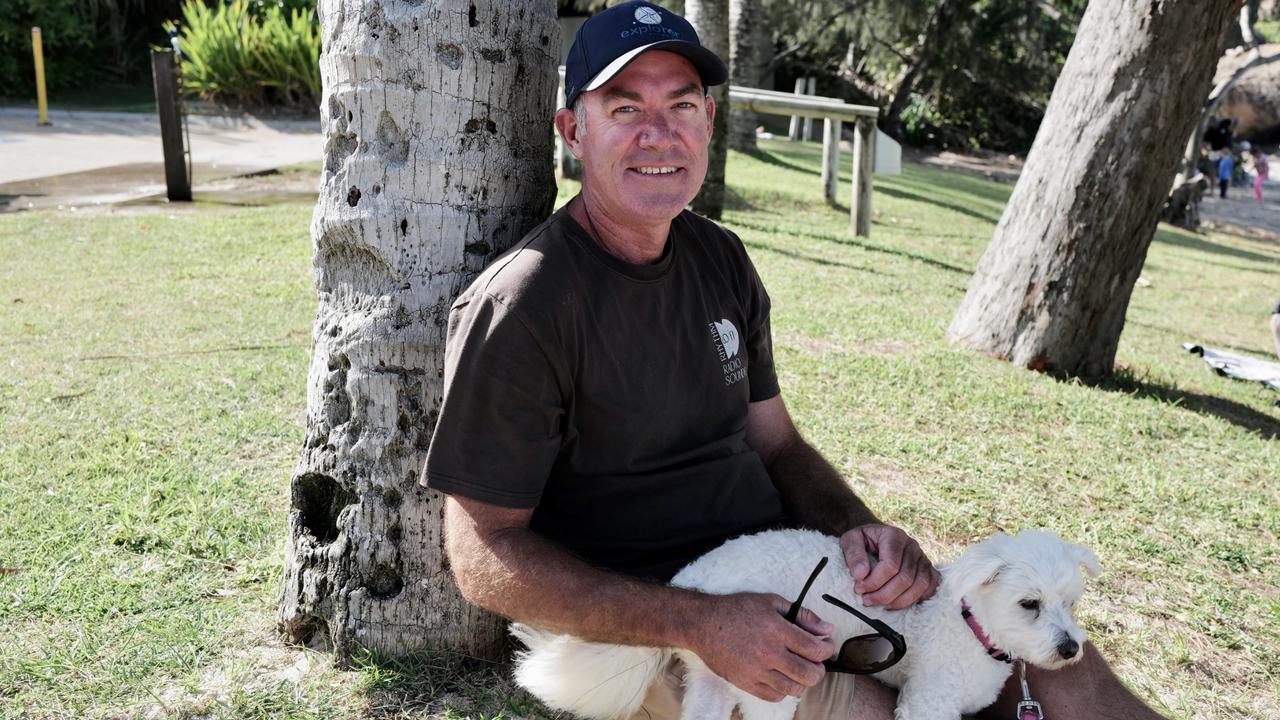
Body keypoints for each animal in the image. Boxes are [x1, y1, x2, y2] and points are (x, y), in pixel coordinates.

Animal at [509, 520, 1100, 717]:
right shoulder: (926, 706)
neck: (968, 625)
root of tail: (691, 582)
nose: (1070, 648)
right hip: (774, 680)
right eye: (1029, 604)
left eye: (1072, 603)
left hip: (713, 681)